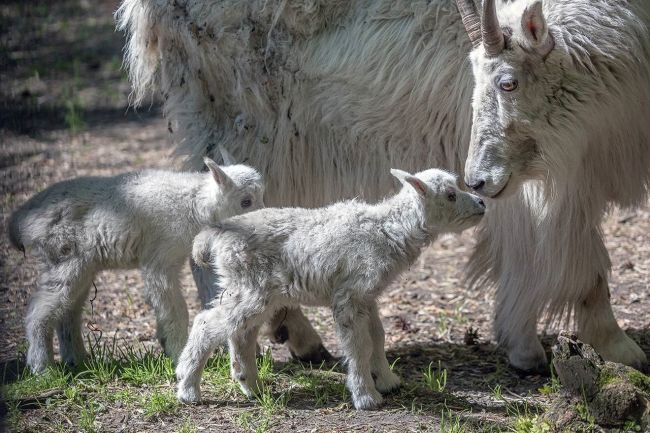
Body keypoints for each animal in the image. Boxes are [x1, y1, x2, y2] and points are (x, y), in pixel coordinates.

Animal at [8, 154, 262, 372]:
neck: (193, 205)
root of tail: (18, 221)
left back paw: (78, 361)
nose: (258, 224)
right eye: (245, 201)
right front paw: (177, 352)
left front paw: (165, 343)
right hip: (64, 257)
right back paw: (43, 369)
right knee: (41, 310)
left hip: (80, 266)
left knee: (68, 312)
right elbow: (175, 309)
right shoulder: (160, 260)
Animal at [116, 0, 648, 370]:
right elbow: (578, 257)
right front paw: (611, 349)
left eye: (507, 82)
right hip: (237, 125)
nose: (477, 179)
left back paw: (300, 339)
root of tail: (145, 15)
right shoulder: (555, 174)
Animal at [175, 169, 484, 408]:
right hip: (252, 287)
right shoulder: (349, 296)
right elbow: (359, 345)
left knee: (241, 333)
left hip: (255, 291)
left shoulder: (367, 296)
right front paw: (366, 397)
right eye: (451, 195)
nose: (482, 202)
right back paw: (188, 387)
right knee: (206, 324)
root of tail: (215, 233)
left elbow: (377, 337)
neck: (386, 229)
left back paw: (252, 386)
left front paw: (388, 381)